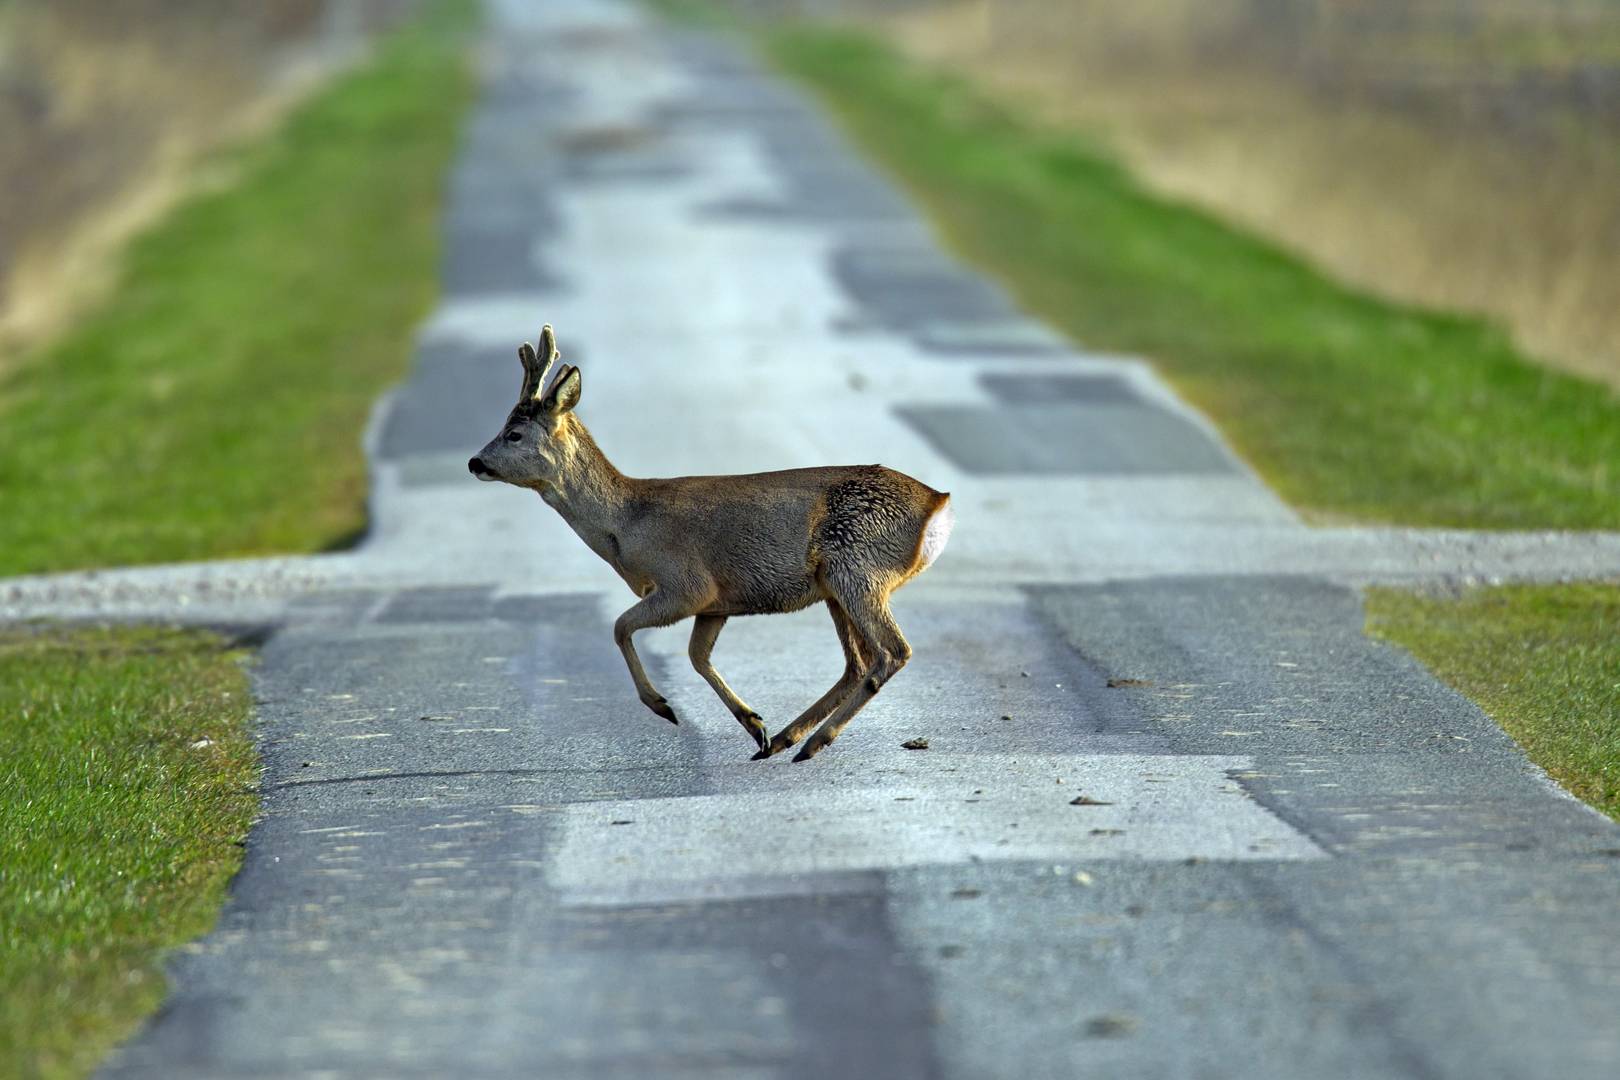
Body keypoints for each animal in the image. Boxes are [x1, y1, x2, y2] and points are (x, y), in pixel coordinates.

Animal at [467, 325, 953, 761]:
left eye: (514, 433)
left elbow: (621, 626)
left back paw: (814, 741)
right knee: (858, 663)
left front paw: (663, 707)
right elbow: (696, 656)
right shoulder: (716, 602)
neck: (625, 525)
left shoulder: (686, 584)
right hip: (836, 585)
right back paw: (786, 739)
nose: (475, 462)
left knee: (892, 651)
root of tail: (938, 505)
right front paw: (754, 725)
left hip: (856, 565)